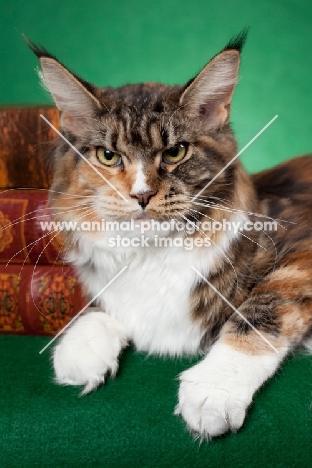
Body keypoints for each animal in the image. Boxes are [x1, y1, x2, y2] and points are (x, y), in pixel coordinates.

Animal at [27, 31, 312, 440]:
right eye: (108, 156)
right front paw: (81, 348)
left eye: (175, 152)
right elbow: (103, 304)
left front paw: (214, 389)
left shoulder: (298, 251)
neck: (151, 253)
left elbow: (259, 312)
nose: (142, 194)